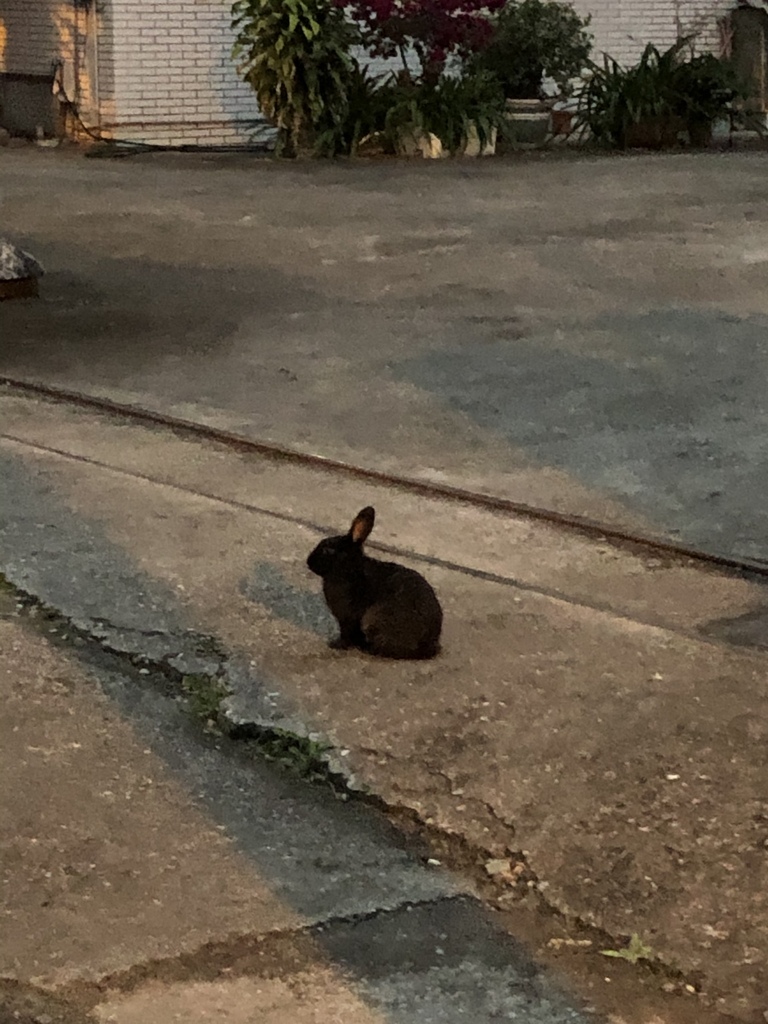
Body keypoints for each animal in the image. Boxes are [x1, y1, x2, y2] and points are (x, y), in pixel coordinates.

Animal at [307, 505, 442, 663]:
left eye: (329, 550)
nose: (308, 562)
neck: (350, 571)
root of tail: (428, 647)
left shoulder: (348, 619)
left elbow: (346, 634)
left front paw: (336, 645)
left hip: (374, 620)